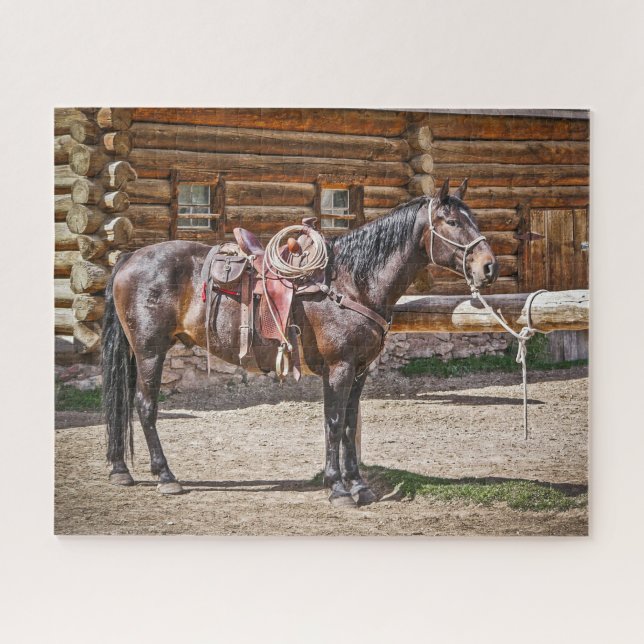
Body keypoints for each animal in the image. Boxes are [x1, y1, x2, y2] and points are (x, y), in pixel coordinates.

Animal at [102, 178, 498, 507]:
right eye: (451, 222)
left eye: (473, 218)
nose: (488, 267)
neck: (351, 282)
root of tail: (130, 257)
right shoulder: (339, 368)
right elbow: (334, 422)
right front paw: (337, 488)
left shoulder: (360, 370)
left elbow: (350, 424)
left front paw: (359, 485)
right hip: (150, 351)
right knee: (145, 406)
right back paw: (165, 476)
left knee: (123, 402)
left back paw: (120, 469)